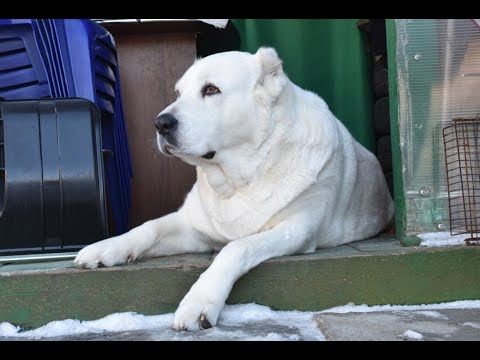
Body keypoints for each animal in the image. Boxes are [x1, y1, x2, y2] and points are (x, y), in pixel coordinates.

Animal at [76, 47, 394, 332]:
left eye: (211, 89)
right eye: (178, 93)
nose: (160, 123)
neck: (240, 176)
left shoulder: (297, 229)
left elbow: (236, 247)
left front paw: (200, 301)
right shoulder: (195, 228)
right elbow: (149, 227)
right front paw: (107, 247)